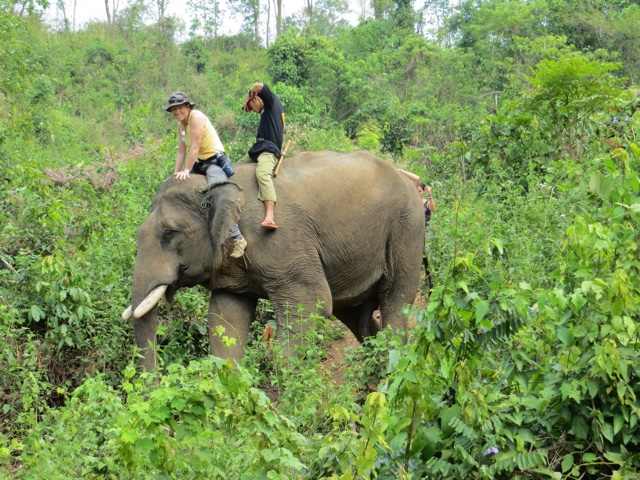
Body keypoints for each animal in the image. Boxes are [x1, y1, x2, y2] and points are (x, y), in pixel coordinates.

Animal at [123, 150, 428, 372]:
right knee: (352, 313)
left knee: (394, 301)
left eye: (169, 233)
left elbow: (311, 302)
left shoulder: (280, 241)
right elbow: (225, 316)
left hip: (407, 230)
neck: (214, 186)